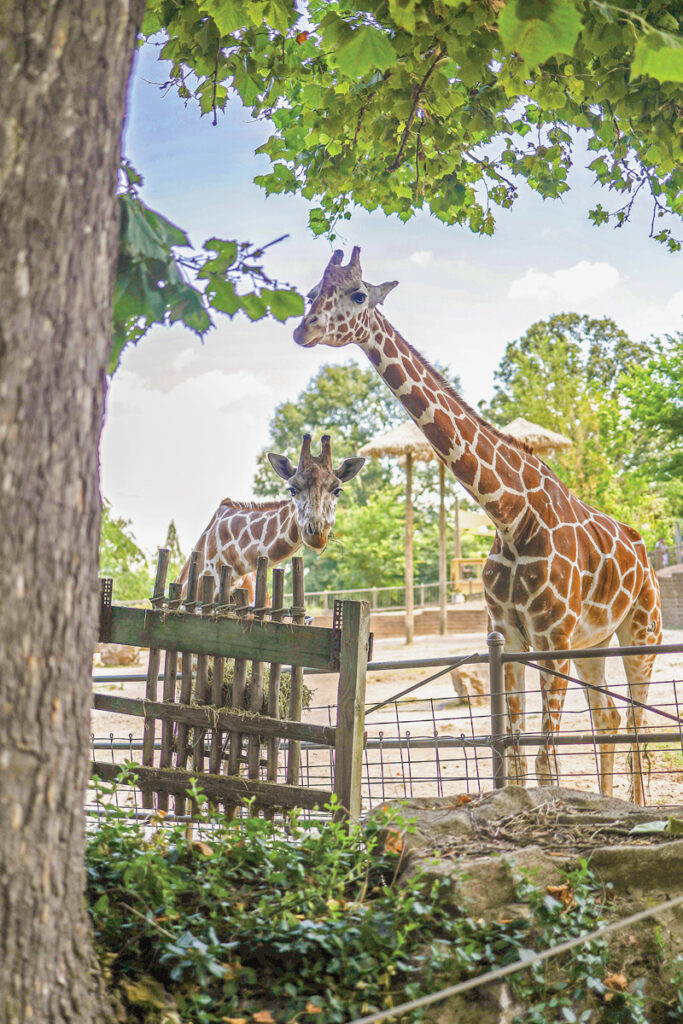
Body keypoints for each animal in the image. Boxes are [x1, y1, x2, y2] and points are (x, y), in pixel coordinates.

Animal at [293, 247, 662, 804]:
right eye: (314, 290)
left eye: (357, 294)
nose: (304, 329)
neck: (509, 514)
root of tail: (642, 548)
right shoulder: (510, 636)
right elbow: (515, 752)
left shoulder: (552, 637)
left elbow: (544, 760)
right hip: (594, 640)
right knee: (610, 719)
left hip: (642, 630)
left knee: (639, 722)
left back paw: (635, 805)